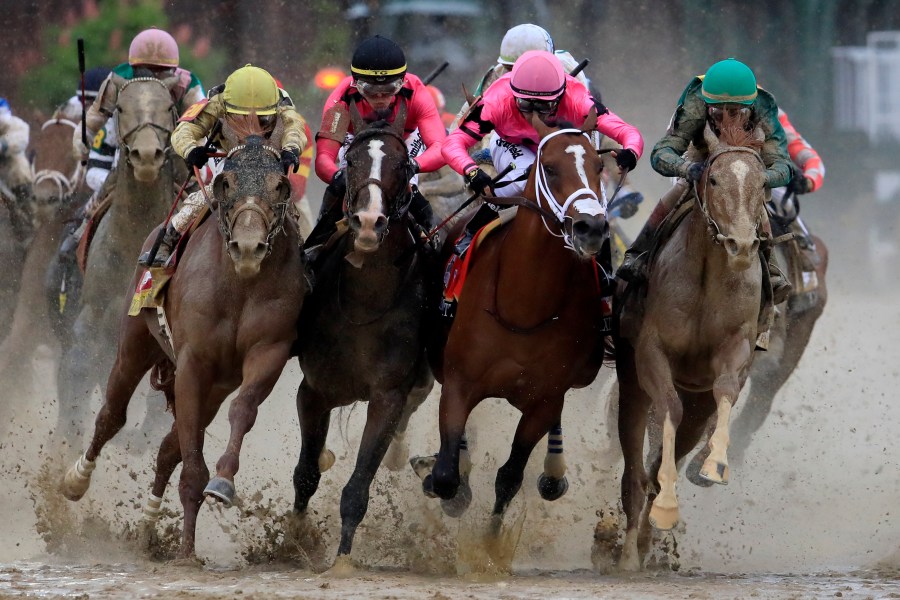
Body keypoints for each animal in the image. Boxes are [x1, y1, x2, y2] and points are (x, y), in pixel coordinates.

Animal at [62, 129, 306, 560]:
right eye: (226, 182)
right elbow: (190, 461)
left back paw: (147, 525)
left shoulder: (268, 352)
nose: (248, 247)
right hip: (134, 343)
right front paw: (187, 550)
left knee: (165, 448)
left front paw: (222, 483)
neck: (240, 284)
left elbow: (242, 411)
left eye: (279, 185)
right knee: (111, 414)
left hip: (214, 387)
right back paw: (77, 480)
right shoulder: (193, 362)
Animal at [290, 117, 434, 572]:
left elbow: (358, 485)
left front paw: (342, 560)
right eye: (349, 161)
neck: (365, 298)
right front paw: (295, 539)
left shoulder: (388, 394)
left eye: (403, 166)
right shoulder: (314, 390)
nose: (369, 222)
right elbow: (306, 473)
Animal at [616, 117, 768, 572]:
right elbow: (668, 406)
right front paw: (665, 507)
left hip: (696, 401)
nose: (741, 245)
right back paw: (627, 551)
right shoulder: (651, 352)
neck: (708, 275)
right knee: (635, 470)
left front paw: (714, 464)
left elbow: (726, 390)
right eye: (714, 179)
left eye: (762, 183)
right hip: (630, 385)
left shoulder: (734, 350)